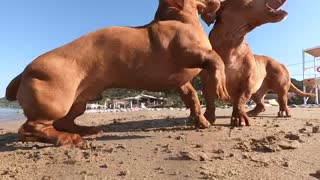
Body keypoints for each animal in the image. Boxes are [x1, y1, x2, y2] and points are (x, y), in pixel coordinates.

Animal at [5, 0, 228, 146]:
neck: (181, 19)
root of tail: (25, 70)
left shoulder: (180, 82)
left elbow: (193, 98)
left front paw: (201, 121)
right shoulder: (187, 54)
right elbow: (216, 58)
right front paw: (221, 85)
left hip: (78, 103)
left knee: (62, 122)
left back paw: (86, 130)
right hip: (56, 104)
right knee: (31, 127)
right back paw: (67, 138)